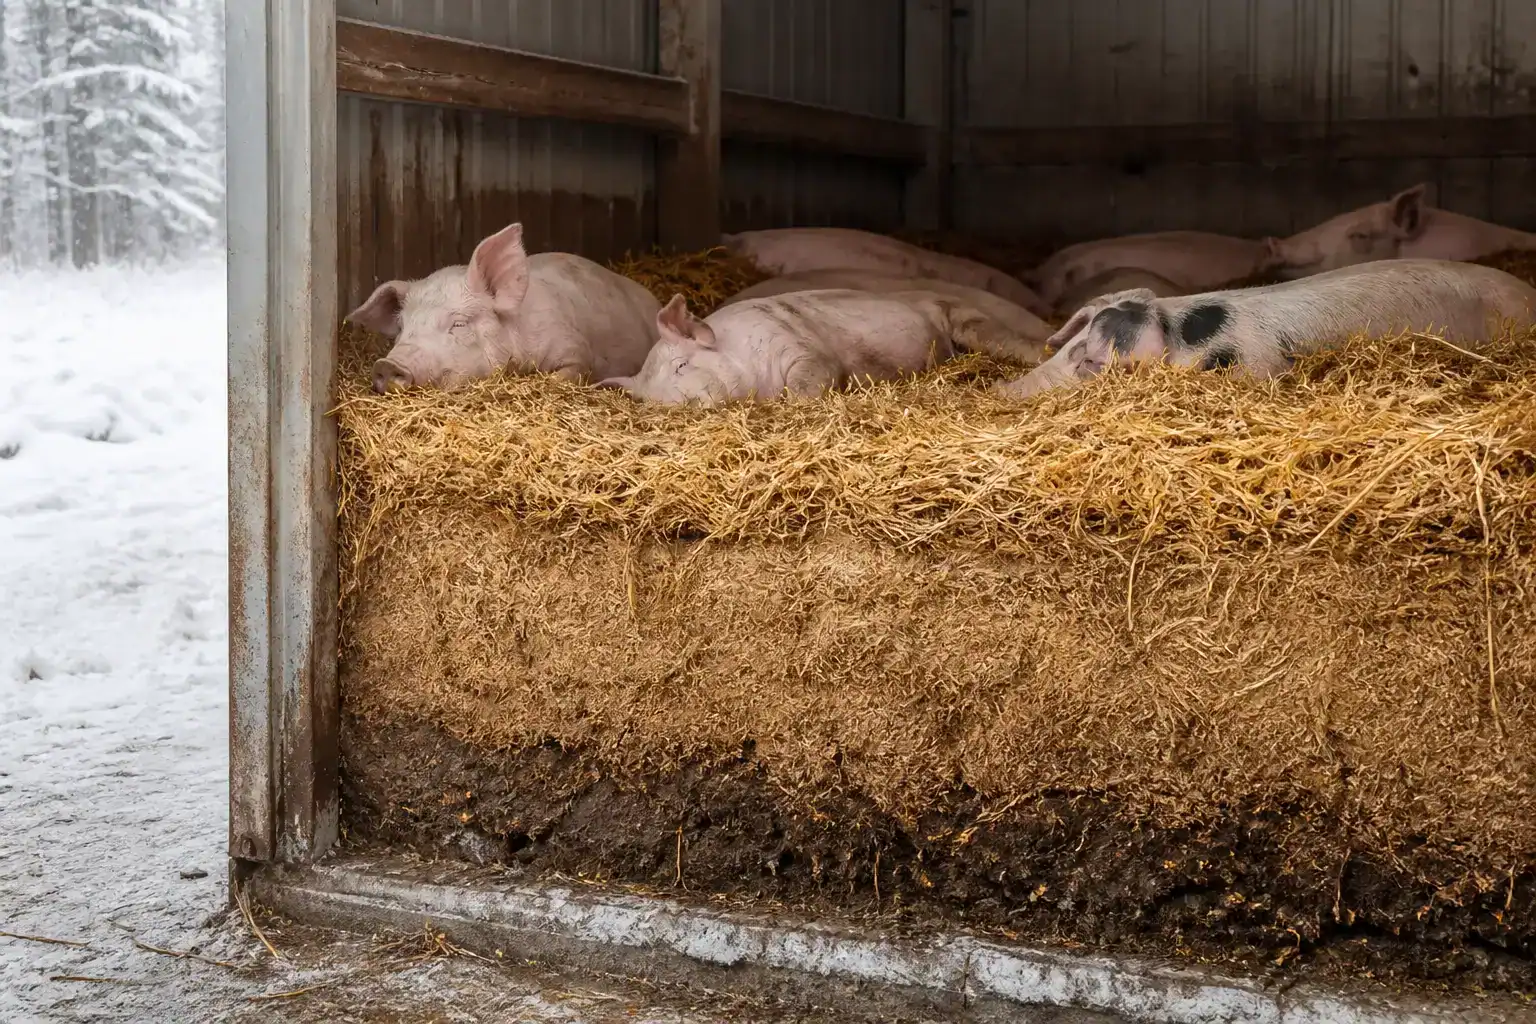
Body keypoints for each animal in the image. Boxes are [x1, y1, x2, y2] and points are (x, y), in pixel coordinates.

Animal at [597, 288, 1029, 406]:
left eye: (682, 366)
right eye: (650, 401)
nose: (676, 406)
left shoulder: (799, 347)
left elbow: (812, 377)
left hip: (970, 323)